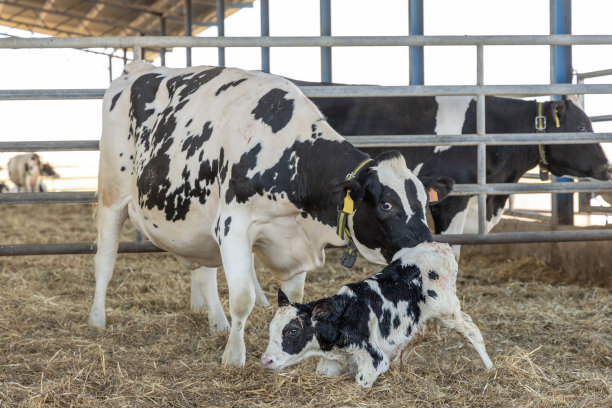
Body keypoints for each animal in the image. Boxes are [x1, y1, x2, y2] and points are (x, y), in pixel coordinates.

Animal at [91, 60, 454, 366]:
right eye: (387, 204)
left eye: (425, 202)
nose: (430, 252)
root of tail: (138, 67)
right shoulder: (233, 226)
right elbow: (242, 297)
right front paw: (234, 358)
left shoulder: (292, 239)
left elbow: (293, 297)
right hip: (112, 195)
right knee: (105, 262)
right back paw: (97, 319)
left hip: (197, 221)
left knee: (204, 273)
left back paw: (218, 324)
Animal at [262, 241, 492, 388]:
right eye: (271, 329)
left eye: (293, 330)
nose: (266, 360)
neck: (345, 317)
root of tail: (439, 246)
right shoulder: (334, 362)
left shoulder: (373, 358)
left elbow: (361, 383)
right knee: (419, 334)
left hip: (447, 310)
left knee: (471, 330)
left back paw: (490, 367)